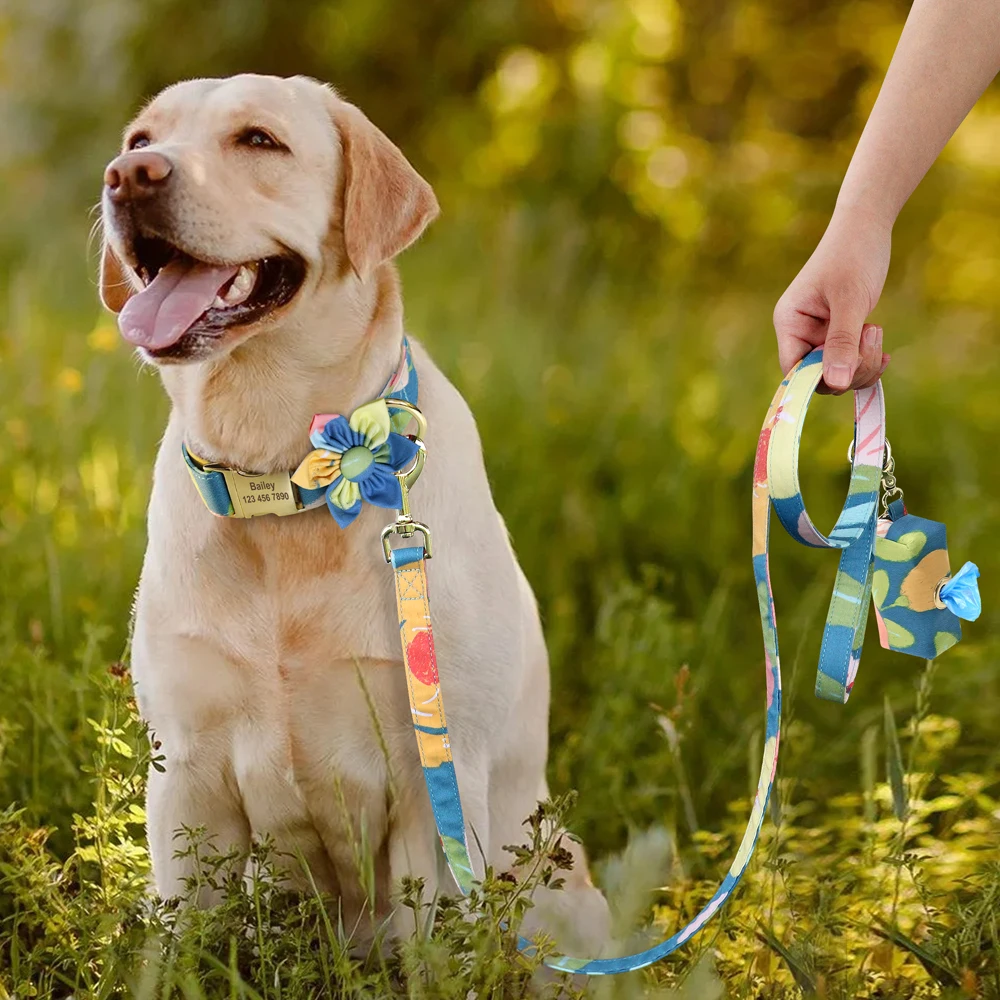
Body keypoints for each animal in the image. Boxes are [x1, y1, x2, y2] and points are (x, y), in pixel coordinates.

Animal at [99, 72, 608, 952]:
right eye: (140, 141)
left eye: (258, 140)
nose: (129, 177)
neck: (280, 476)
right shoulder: (184, 777)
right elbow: (179, 950)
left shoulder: (434, 781)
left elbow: (437, 956)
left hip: (556, 880)